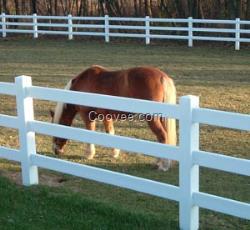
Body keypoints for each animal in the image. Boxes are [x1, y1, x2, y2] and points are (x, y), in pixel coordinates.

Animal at [49, 64, 177, 171]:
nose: (56, 150)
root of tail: (162, 77)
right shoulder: (106, 116)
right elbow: (110, 133)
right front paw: (115, 153)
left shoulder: (87, 116)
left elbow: (91, 133)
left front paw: (89, 154)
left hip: (152, 118)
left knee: (162, 136)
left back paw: (163, 166)